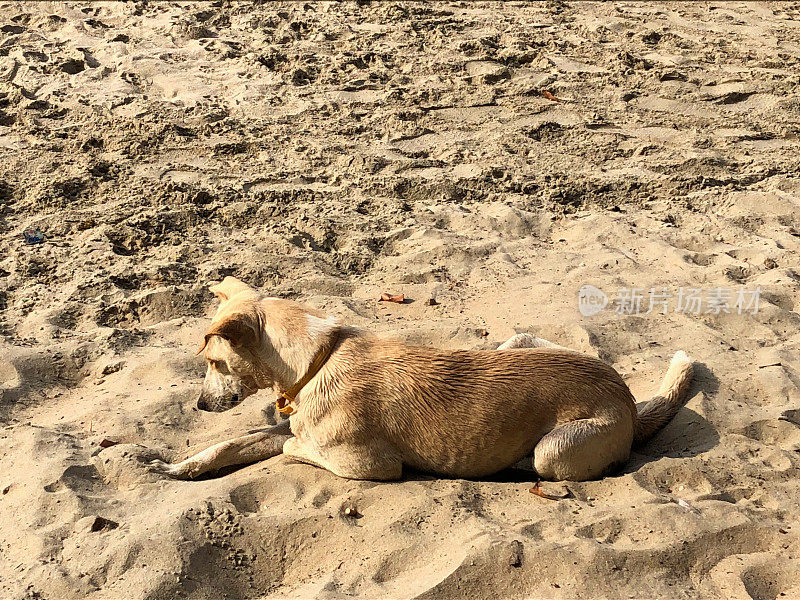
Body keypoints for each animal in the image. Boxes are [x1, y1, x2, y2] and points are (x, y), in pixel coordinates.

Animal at [150, 278, 692, 482]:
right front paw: (181, 466)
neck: (319, 359)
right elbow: (236, 442)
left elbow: (289, 447)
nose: (199, 407)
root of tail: (626, 396)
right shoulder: (286, 422)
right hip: (517, 340)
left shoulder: (372, 464)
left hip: (554, 450)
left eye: (215, 363)